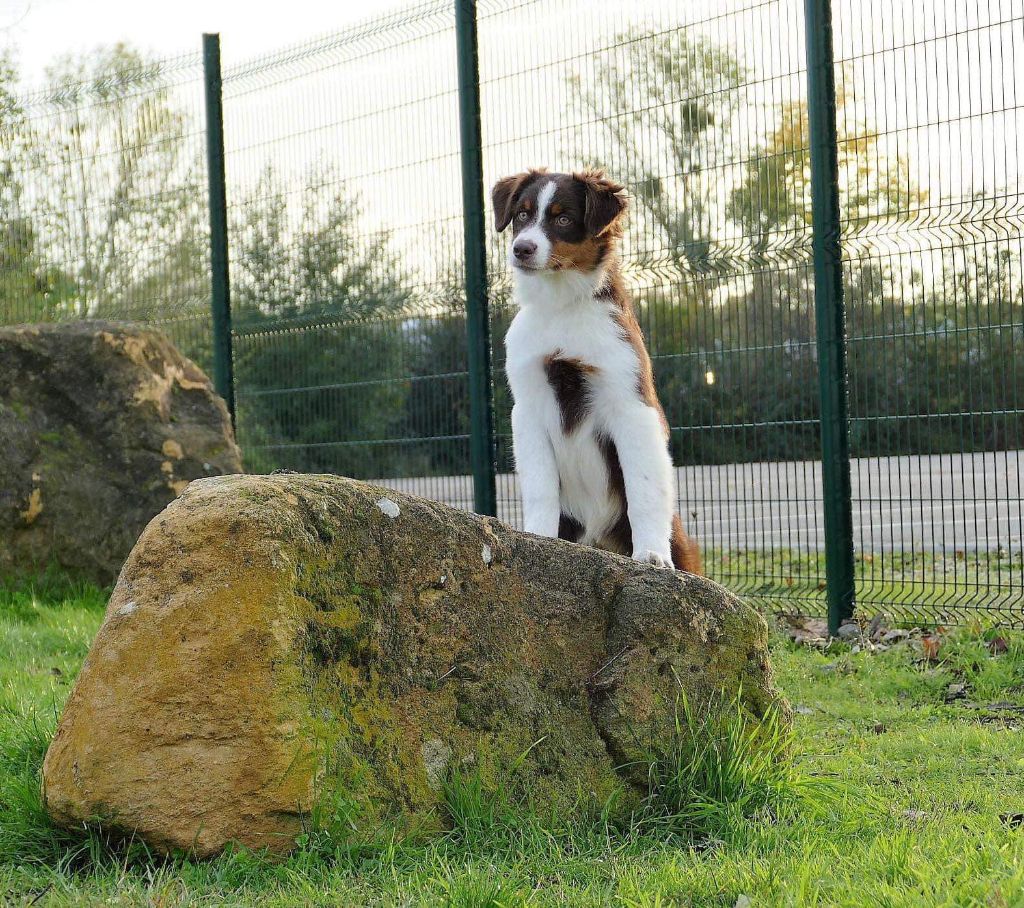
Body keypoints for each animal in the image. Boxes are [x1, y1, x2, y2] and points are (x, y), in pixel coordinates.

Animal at [491, 166, 700, 573]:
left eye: (563, 219)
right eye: (522, 214)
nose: (522, 248)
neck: (561, 307)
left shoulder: (631, 405)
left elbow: (643, 487)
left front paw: (651, 554)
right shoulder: (528, 407)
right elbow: (540, 486)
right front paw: (538, 538)